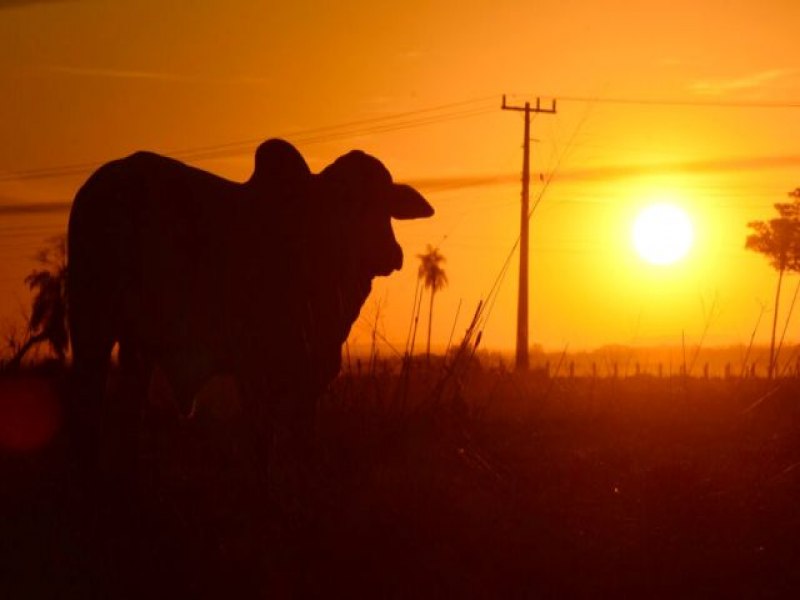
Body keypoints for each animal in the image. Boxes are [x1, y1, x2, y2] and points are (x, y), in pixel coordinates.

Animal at [67, 139, 432, 460]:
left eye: (388, 201)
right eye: (346, 200)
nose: (390, 253)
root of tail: (98, 184)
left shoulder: (312, 374)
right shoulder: (254, 368)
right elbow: (262, 443)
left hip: (137, 345)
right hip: (91, 329)